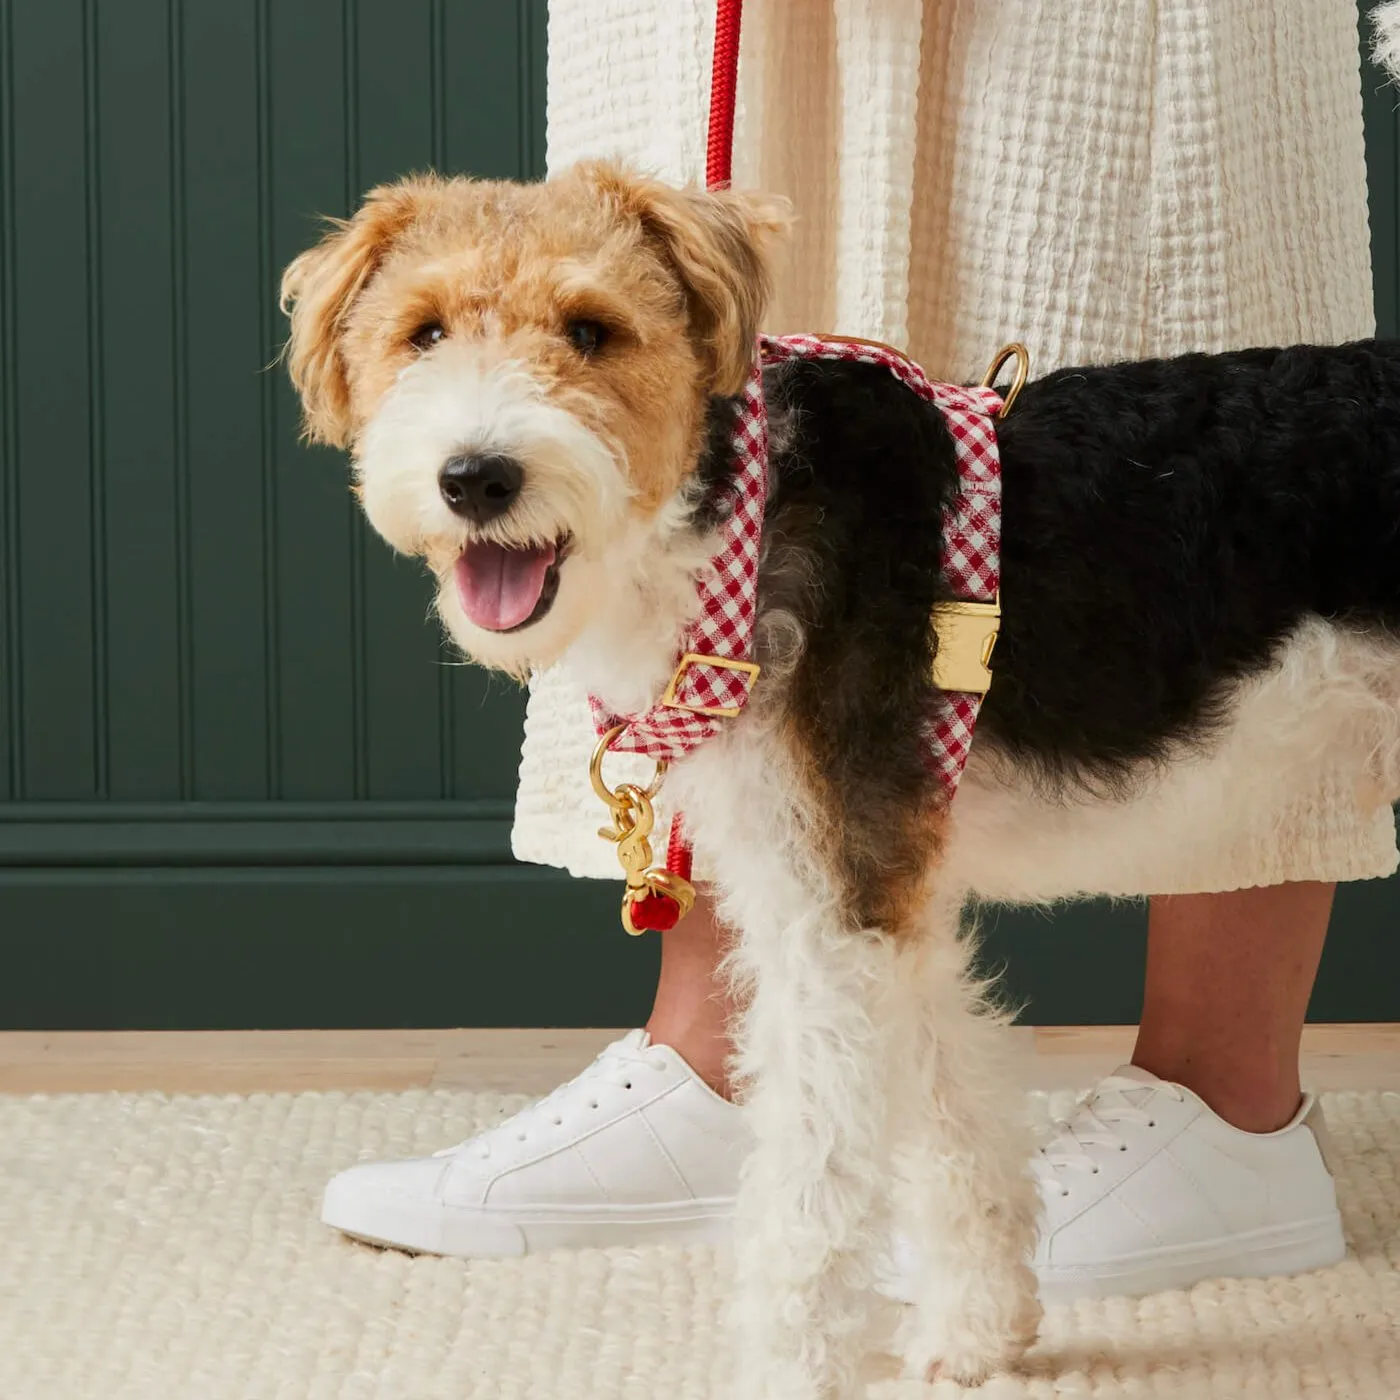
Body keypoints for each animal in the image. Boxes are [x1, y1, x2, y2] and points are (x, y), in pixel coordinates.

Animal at [278, 161, 1400, 1388]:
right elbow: (947, 1115)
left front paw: (788, 1368)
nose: (477, 477)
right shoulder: (877, 890)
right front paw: (974, 1329)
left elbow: (806, 1196)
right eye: (423, 331)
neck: (733, 522)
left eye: (591, 329)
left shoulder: (833, 913)